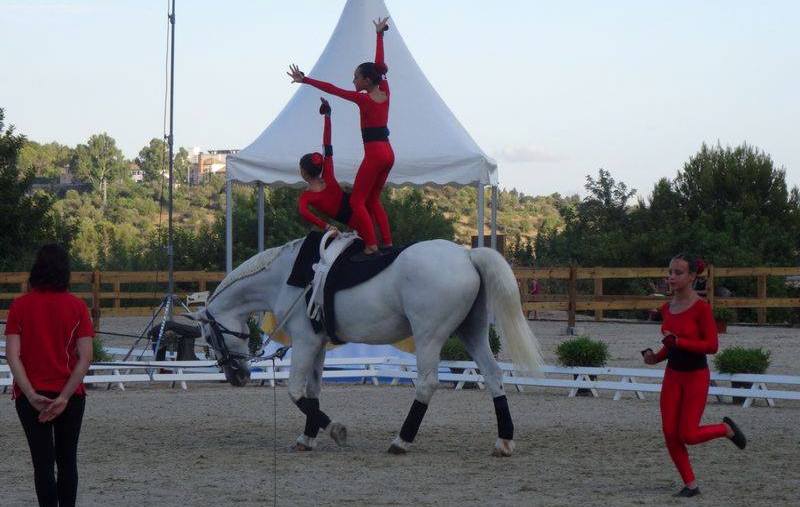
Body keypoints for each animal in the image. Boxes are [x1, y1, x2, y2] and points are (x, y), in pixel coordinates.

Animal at [194, 238, 544, 456]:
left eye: (209, 338)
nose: (237, 376)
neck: (285, 277)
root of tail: (466, 256)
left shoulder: (305, 341)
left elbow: (295, 392)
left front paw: (335, 430)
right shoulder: (319, 344)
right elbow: (312, 391)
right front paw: (307, 438)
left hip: (429, 336)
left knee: (427, 384)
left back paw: (402, 441)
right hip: (471, 332)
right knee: (493, 375)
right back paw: (503, 442)